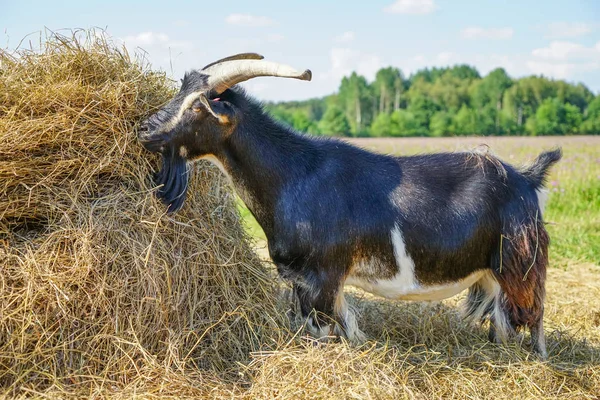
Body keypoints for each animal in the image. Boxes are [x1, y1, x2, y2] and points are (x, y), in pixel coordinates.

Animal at [138, 52, 560, 356]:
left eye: (198, 106)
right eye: (179, 92)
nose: (144, 128)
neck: (294, 175)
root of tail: (527, 178)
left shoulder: (322, 276)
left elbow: (323, 331)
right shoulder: (303, 280)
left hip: (521, 261)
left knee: (534, 311)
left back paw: (537, 359)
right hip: (493, 270)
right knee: (502, 317)